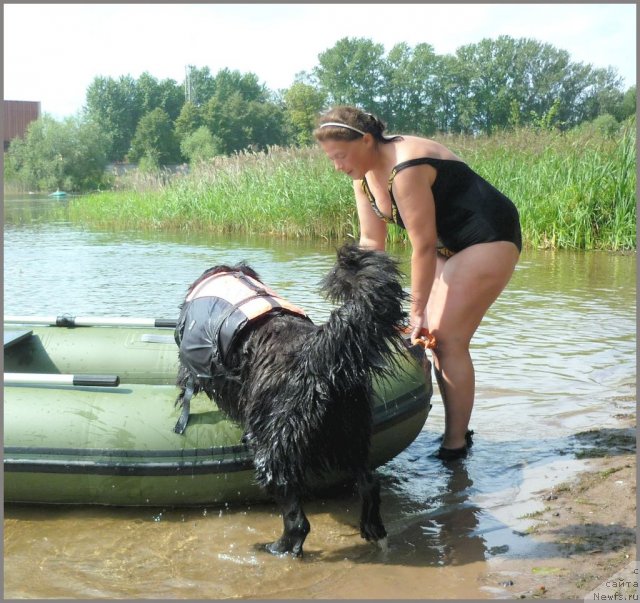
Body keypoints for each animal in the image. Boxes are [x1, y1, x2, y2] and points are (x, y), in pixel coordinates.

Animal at [172, 243, 408, 560]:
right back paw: (374, 531)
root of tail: (319, 353)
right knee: (369, 481)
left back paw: (276, 548)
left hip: (275, 442)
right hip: (352, 430)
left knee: (296, 518)